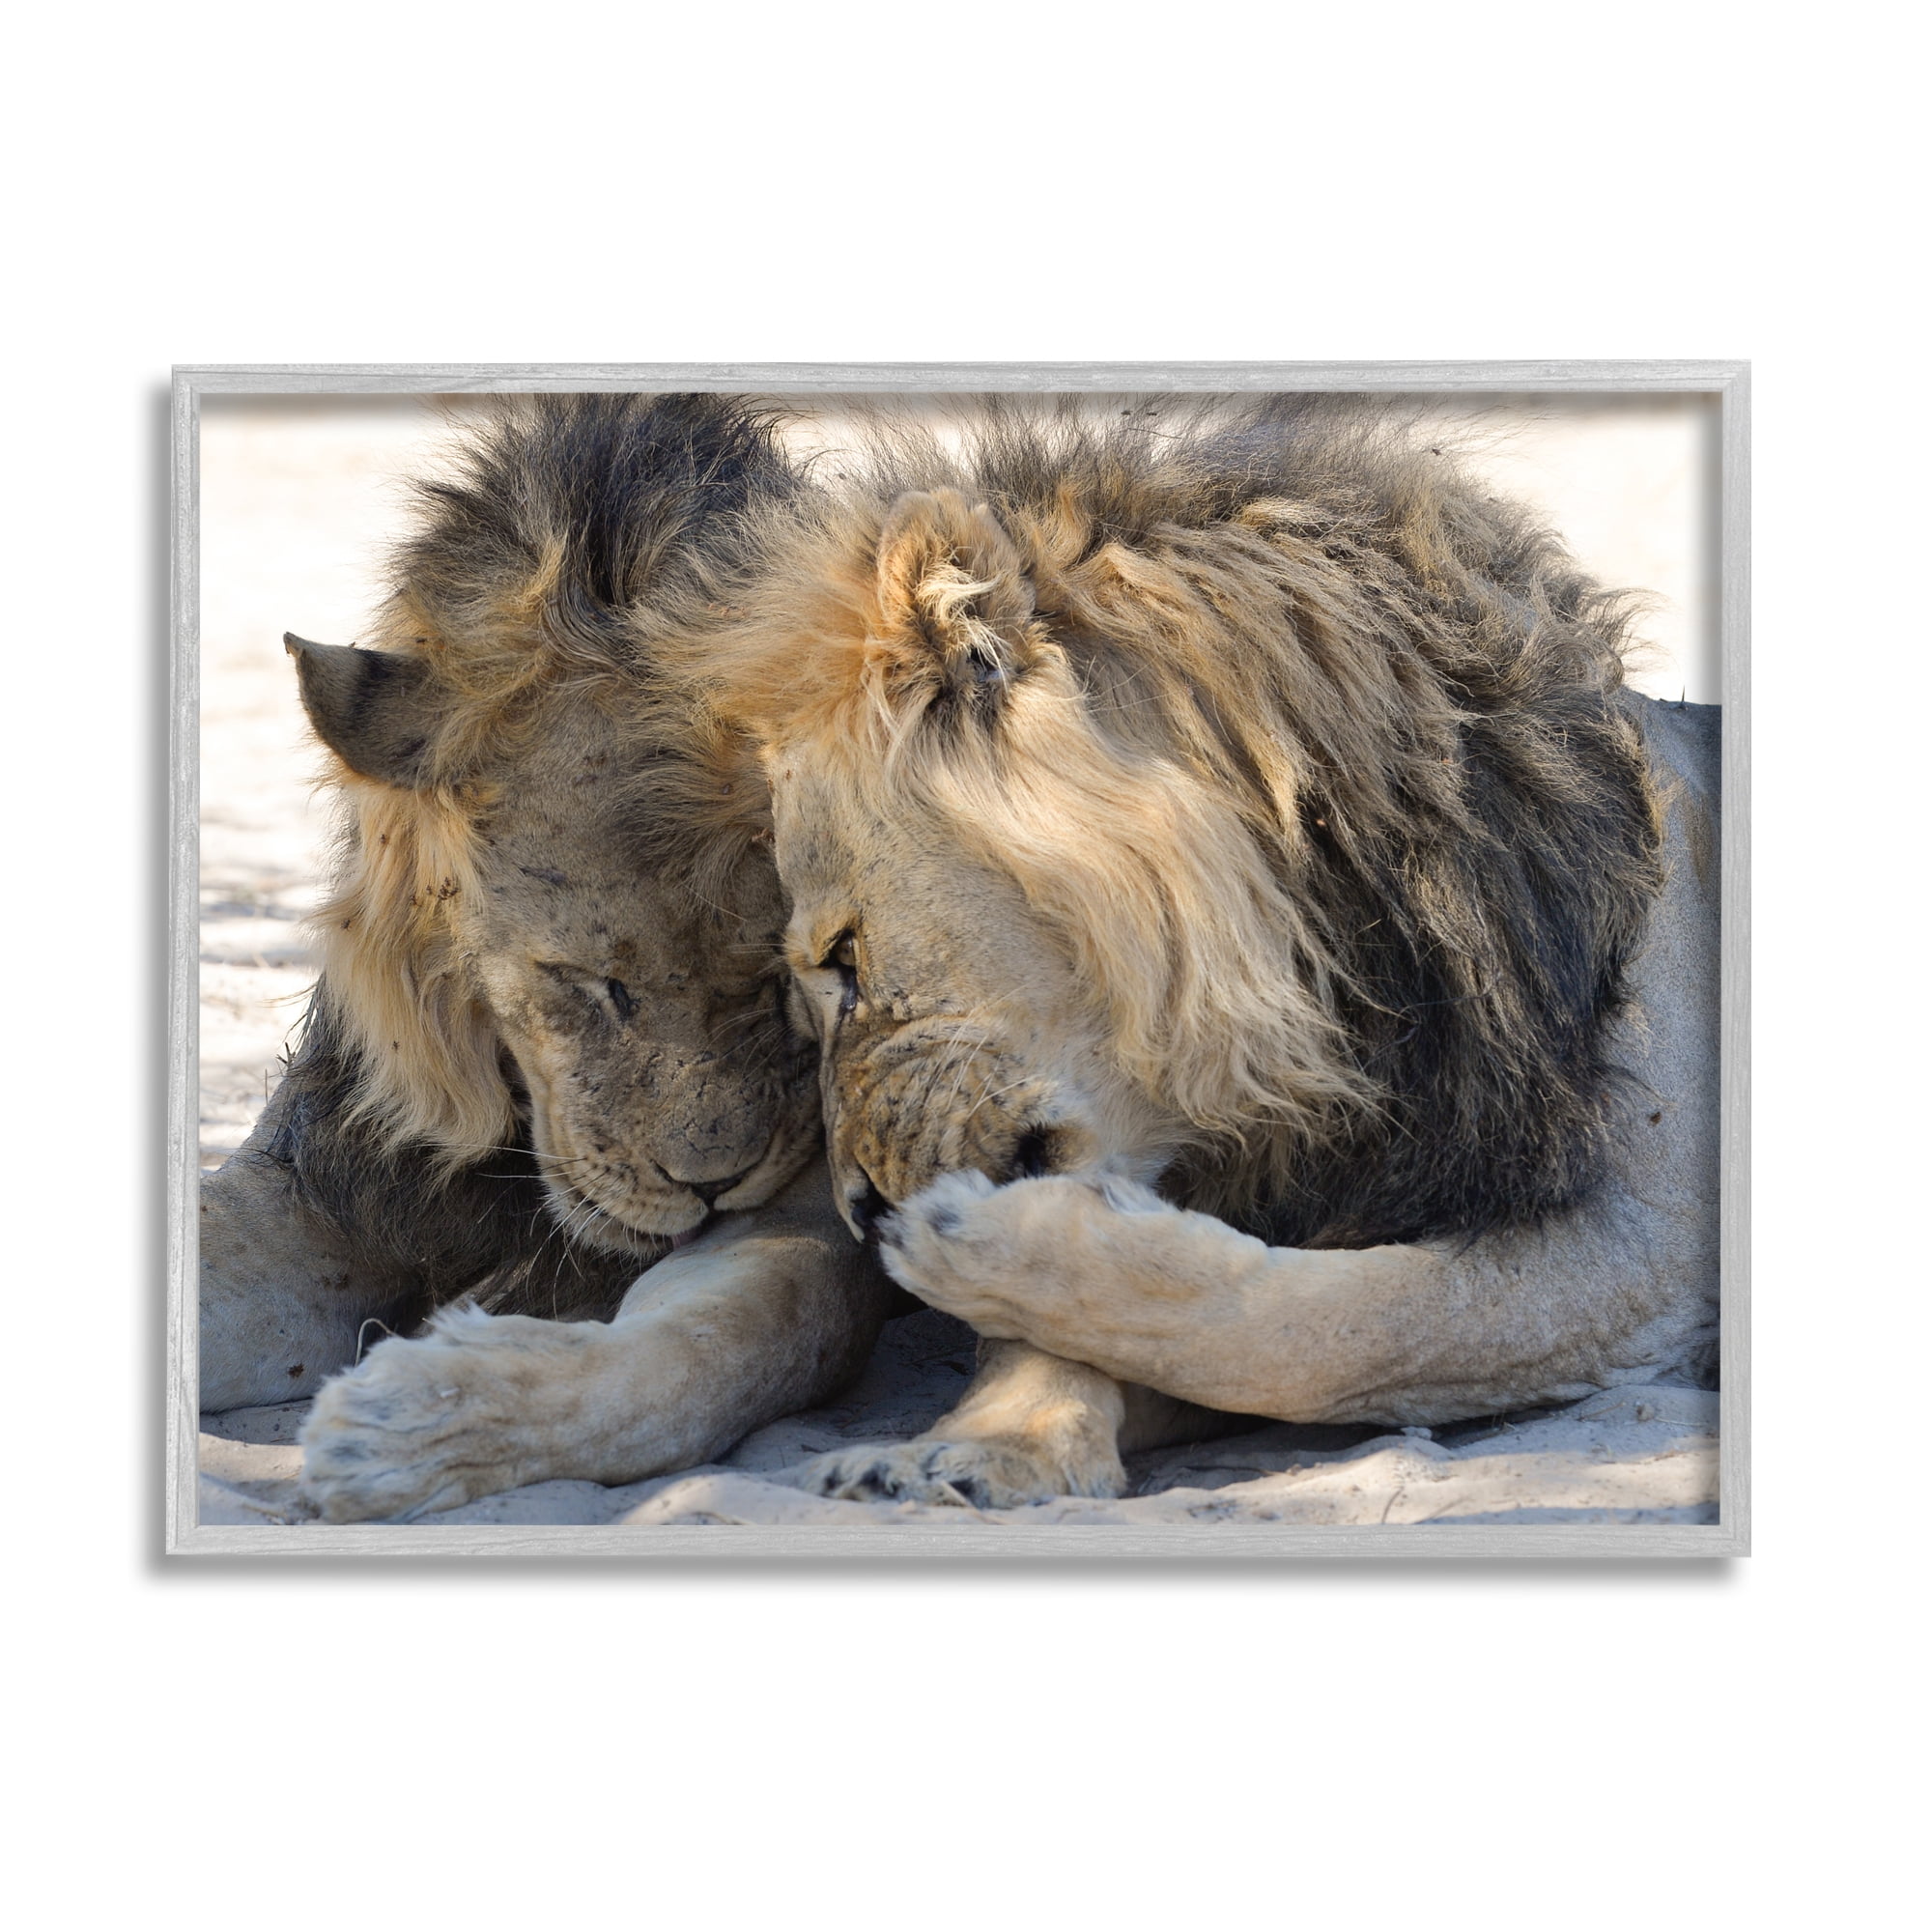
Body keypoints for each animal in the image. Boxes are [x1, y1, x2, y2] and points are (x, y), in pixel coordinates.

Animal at [199, 394, 893, 1522]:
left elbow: (732, 1340)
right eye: (590, 984)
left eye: (780, 980)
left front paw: (418, 1423)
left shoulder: (807, 1217)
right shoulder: (323, 1181)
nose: (713, 1184)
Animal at [681, 396, 1721, 1510]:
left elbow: (1329, 1328)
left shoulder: (1643, 1245)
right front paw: (989, 1441)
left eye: (843, 955)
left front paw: (979, 1250)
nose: (862, 1211)